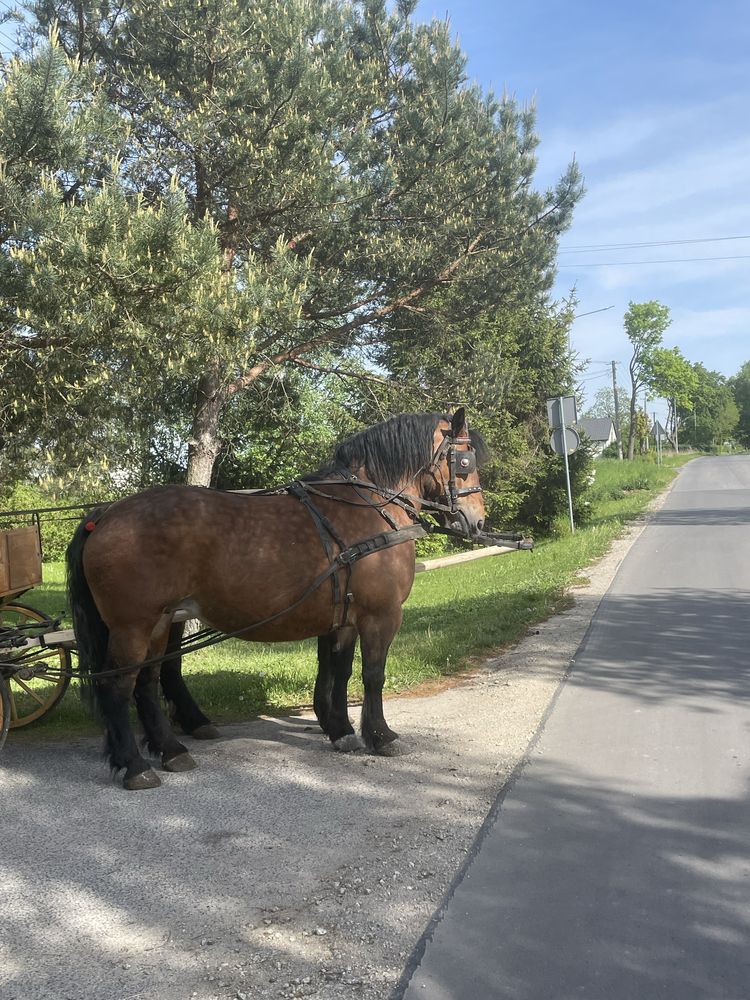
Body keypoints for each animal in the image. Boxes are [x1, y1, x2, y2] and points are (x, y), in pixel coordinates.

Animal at [66, 406, 488, 788]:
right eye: (465, 461)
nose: (478, 520)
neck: (370, 506)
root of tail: (106, 514)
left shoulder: (344, 616)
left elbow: (339, 671)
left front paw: (341, 730)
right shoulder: (380, 615)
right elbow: (373, 674)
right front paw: (381, 736)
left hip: (160, 622)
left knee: (147, 683)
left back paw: (170, 751)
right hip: (133, 626)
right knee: (117, 687)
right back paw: (136, 767)